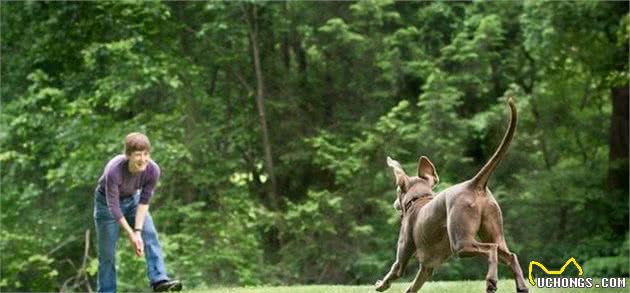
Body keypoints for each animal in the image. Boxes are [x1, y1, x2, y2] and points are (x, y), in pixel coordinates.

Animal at [378, 97, 532, 290]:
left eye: (398, 190)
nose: (394, 203)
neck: (419, 199)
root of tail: (473, 184)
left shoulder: (402, 260)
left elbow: (392, 274)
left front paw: (379, 285)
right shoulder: (427, 266)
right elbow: (413, 287)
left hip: (461, 243)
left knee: (491, 249)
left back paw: (491, 280)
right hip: (494, 230)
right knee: (510, 255)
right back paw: (521, 286)